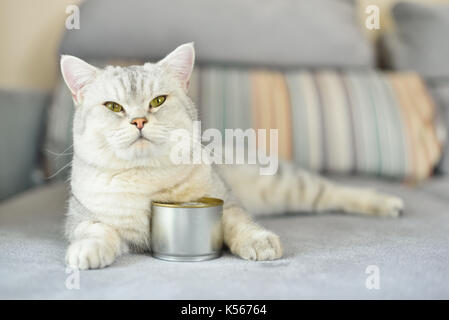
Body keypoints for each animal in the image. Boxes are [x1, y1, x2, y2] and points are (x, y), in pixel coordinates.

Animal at [60, 41, 402, 268]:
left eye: (157, 101)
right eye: (113, 107)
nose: (139, 121)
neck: (146, 179)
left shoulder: (227, 200)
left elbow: (239, 224)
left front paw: (258, 242)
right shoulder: (83, 217)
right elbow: (95, 231)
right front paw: (86, 253)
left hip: (284, 185)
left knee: (335, 191)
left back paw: (387, 203)